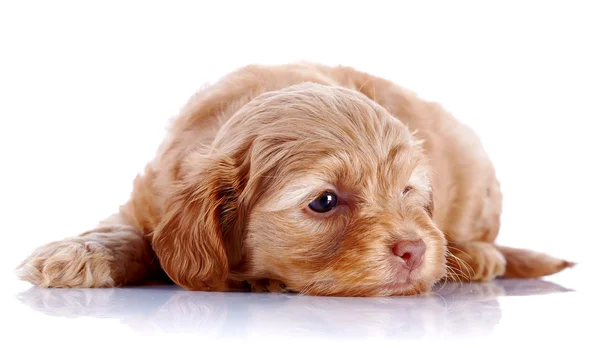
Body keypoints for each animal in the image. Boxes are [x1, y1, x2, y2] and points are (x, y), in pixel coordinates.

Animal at [16, 63, 576, 296]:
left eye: (408, 193)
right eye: (324, 201)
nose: (415, 250)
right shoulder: (148, 200)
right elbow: (132, 235)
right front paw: (74, 253)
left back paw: (475, 256)